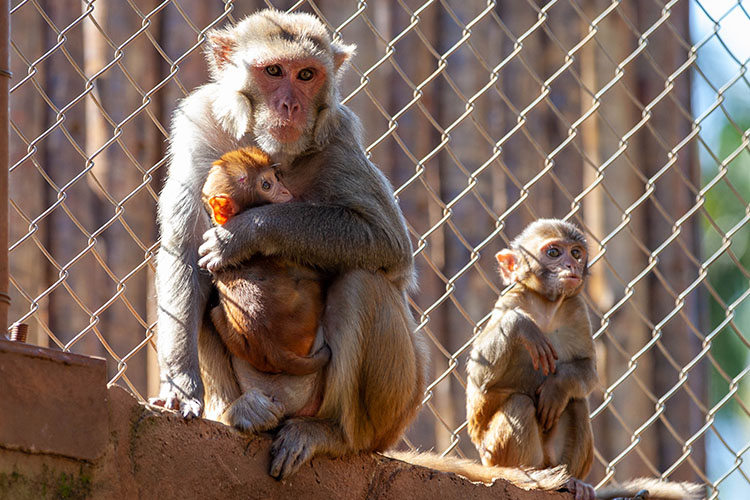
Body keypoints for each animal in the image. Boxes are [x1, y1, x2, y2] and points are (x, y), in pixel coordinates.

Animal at [201, 146, 330, 376]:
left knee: (215, 312)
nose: (286, 191)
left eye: (276, 178)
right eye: (266, 185)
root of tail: (271, 346)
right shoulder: (280, 252)